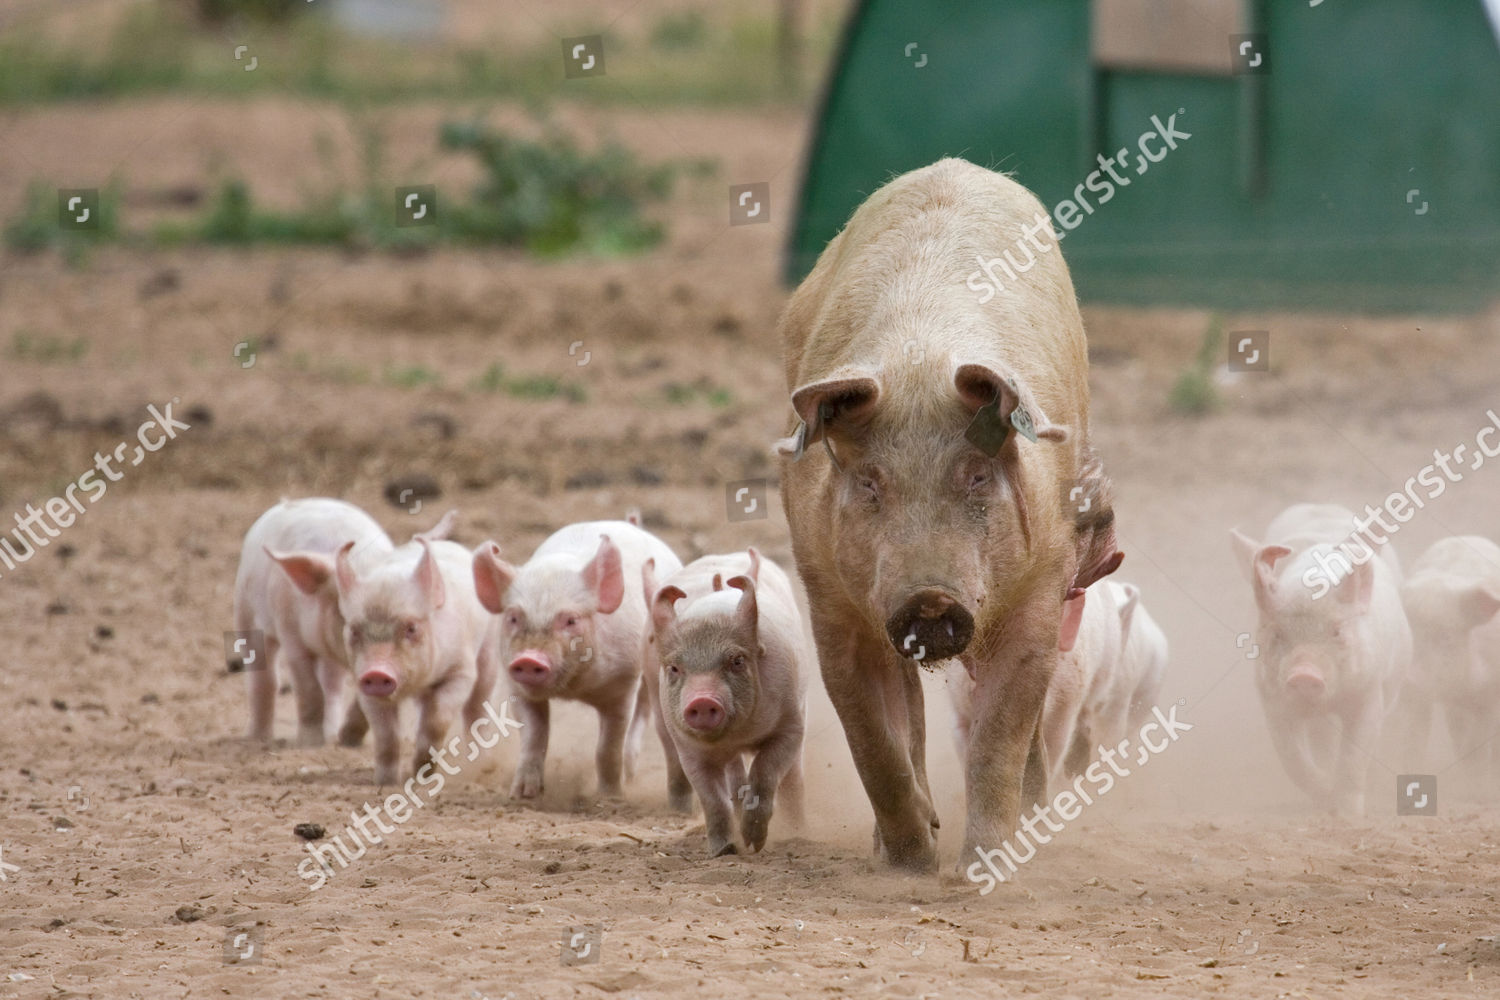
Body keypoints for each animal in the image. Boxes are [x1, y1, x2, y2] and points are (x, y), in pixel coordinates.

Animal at [471, 524, 684, 797]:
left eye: (571, 620)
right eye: (513, 618)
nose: (529, 659)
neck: (573, 688)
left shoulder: (623, 684)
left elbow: (608, 746)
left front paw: (610, 796)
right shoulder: (518, 689)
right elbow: (534, 735)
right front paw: (523, 794)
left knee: (643, 711)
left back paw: (630, 776)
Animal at [780, 160, 1122, 869]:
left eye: (977, 475)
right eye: (870, 482)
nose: (930, 598)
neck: (919, 362)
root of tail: (955, 166)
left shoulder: (1042, 580)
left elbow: (1002, 732)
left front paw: (980, 871)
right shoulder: (827, 592)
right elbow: (871, 738)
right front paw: (910, 864)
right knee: (909, 710)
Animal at [1230, 503, 1404, 815]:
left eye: (1336, 631)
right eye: (1277, 634)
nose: (1304, 673)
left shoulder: (1369, 691)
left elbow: (1354, 755)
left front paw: (1347, 815)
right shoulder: (1272, 700)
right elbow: (1293, 760)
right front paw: (1324, 795)